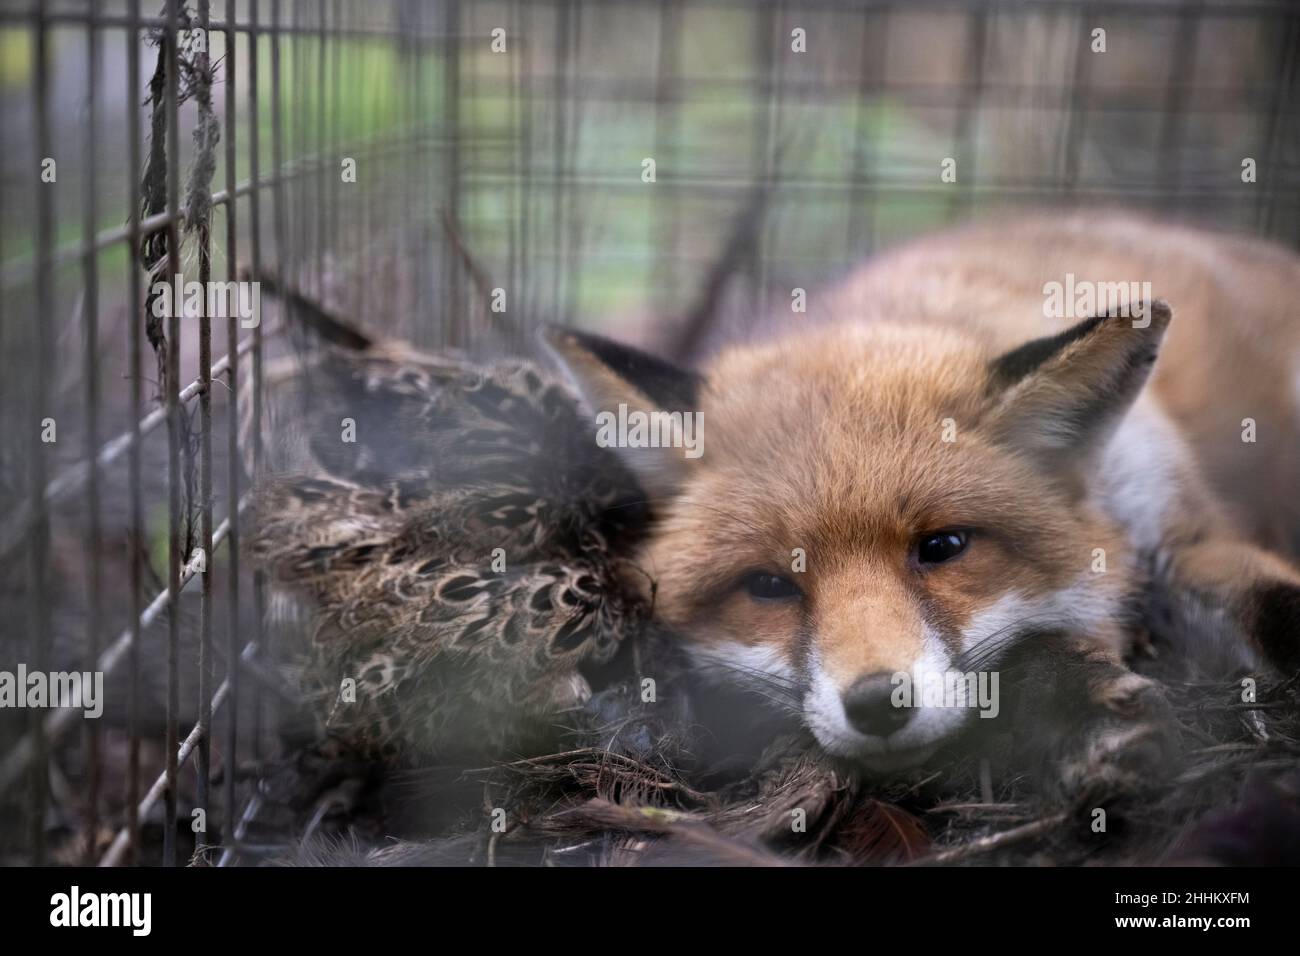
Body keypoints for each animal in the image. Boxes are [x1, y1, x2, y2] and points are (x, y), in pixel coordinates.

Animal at [545, 210, 1300, 781]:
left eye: (943, 547)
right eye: (768, 586)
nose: (880, 704)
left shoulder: (1177, 530)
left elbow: (1272, 604)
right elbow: (1036, 645)